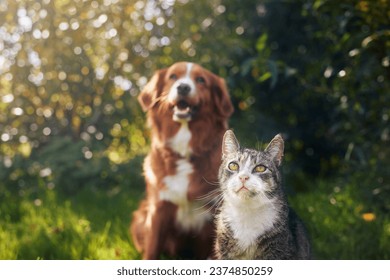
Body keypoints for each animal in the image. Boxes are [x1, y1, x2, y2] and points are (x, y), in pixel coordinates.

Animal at [131, 61, 235, 260]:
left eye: (201, 80)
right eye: (173, 76)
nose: (183, 87)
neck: (185, 153)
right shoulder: (158, 208)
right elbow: (151, 250)